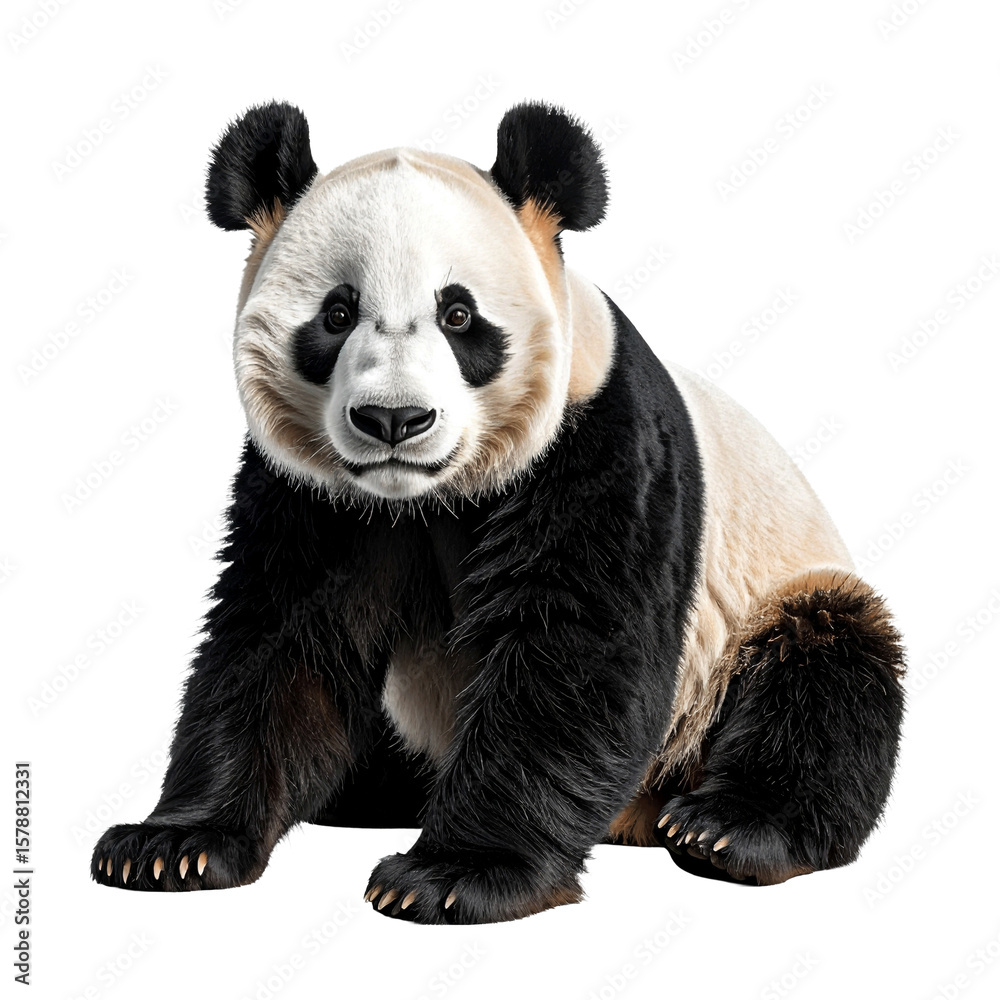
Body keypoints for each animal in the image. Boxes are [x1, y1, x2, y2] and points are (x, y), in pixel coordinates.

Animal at [91, 100, 905, 923]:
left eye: (458, 315)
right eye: (336, 313)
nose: (394, 420)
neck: (426, 496)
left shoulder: (599, 444)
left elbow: (570, 651)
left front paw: (452, 874)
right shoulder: (312, 494)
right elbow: (282, 639)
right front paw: (173, 844)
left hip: (766, 608)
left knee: (822, 675)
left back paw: (727, 829)